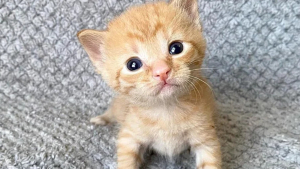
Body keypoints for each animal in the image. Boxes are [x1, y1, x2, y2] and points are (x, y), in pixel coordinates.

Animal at [77, 0, 223, 168]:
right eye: (133, 65)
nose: (162, 71)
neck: (166, 110)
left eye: (176, 48)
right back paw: (101, 119)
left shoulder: (206, 138)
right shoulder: (129, 138)